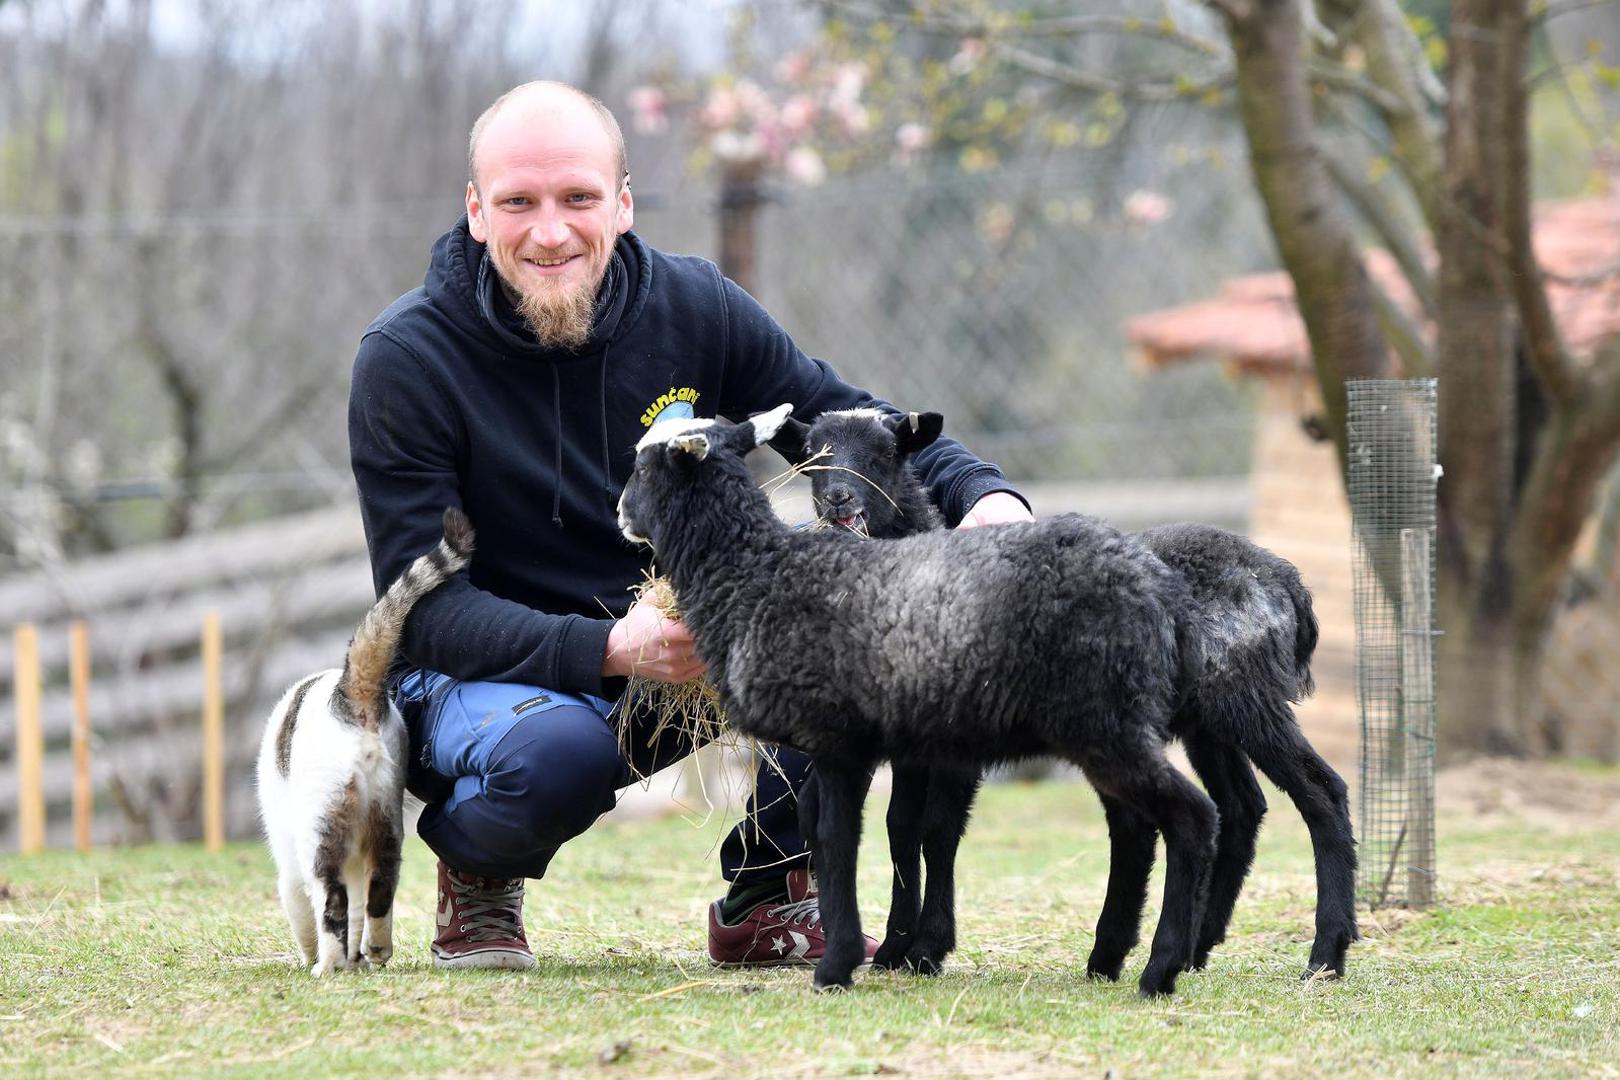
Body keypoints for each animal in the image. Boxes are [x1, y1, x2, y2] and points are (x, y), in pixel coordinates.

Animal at [251, 511, 469, 977]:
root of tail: (352, 691)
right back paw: (376, 951)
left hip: (321, 828)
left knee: (330, 899)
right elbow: (357, 907)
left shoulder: (290, 863)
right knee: (381, 888)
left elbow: (307, 912)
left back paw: (327, 966)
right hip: (386, 817)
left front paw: (318, 957)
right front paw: (357, 960)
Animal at [777, 404, 1360, 990]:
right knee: (1240, 807)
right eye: (810, 458)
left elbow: (936, 832)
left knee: (1320, 792)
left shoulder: (955, 749)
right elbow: (900, 828)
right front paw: (896, 946)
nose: (838, 499)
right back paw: (1196, 947)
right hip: (1204, 721)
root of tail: (1286, 579)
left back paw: (1324, 955)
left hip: (1242, 696)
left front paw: (926, 949)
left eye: (886, 454)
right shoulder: (909, 745)